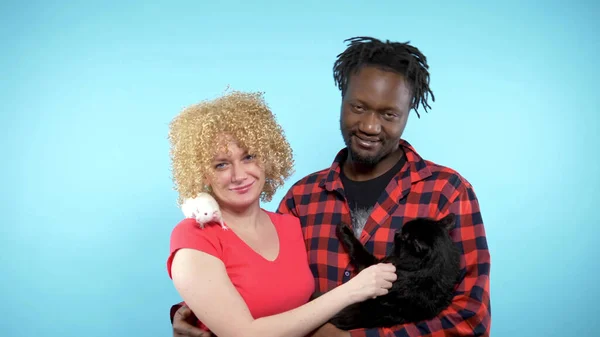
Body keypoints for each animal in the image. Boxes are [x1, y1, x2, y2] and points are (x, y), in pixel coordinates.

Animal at [324, 213, 460, 328]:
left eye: (405, 236)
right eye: (403, 231)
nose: (397, 231)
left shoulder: (373, 266)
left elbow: (358, 250)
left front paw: (344, 229)